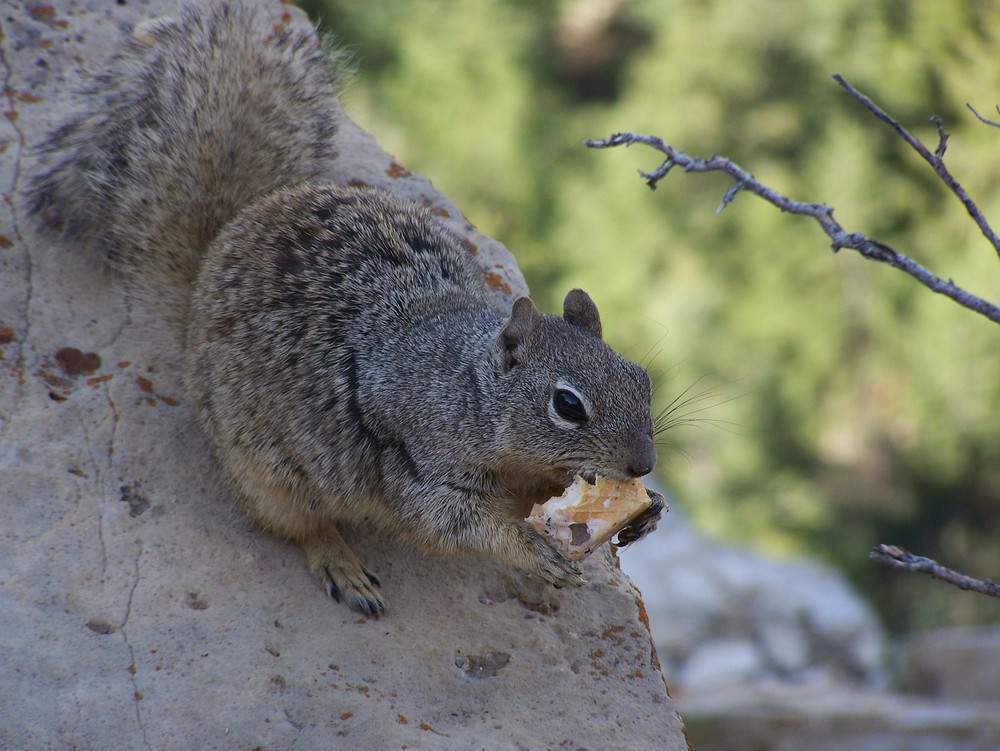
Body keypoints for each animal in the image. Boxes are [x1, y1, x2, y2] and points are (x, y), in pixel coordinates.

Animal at [27, 1, 660, 616]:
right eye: (567, 405)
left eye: (641, 378)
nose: (644, 465)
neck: (472, 396)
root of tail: (212, 260)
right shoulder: (418, 463)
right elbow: (455, 524)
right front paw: (534, 549)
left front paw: (647, 510)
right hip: (266, 475)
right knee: (299, 527)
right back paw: (343, 568)